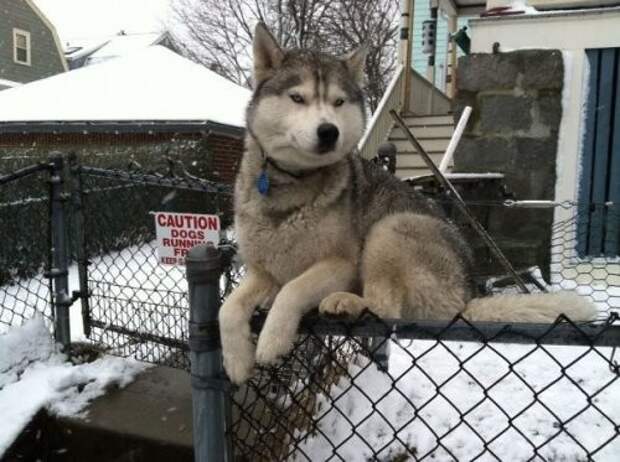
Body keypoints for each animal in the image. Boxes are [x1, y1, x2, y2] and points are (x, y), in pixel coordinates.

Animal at [219, 22, 596, 382]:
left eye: (338, 102)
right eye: (297, 98)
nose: (329, 132)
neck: (289, 182)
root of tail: (466, 296)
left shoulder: (341, 265)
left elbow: (292, 290)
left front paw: (272, 341)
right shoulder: (263, 272)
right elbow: (227, 308)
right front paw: (236, 361)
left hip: (391, 228)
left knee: (386, 308)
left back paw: (347, 302)